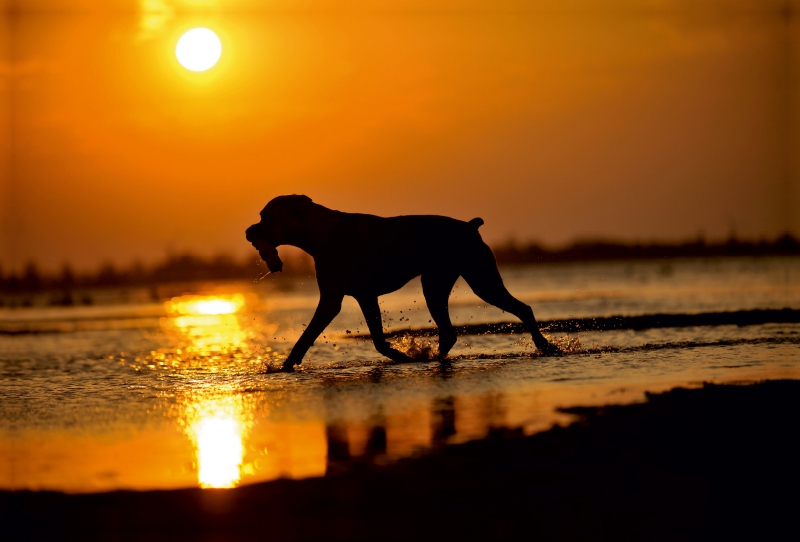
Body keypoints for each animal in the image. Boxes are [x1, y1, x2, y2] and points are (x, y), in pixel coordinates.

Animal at [247, 197, 560, 374]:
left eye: (267, 216)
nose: (249, 231)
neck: (321, 232)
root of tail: (470, 226)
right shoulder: (365, 297)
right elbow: (377, 339)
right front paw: (400, 356)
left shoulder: (331, 301)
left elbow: (306, 337)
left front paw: (285, 366)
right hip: (436, 284)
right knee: (449, 333)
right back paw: (431, 358)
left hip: (479, 281)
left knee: (523, 308)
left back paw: (545, 346)